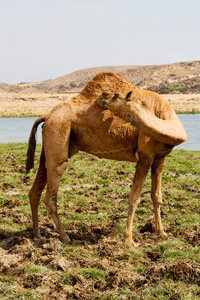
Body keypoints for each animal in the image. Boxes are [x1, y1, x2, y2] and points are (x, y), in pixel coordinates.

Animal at [25, 72, 187, 246]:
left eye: (115, 95)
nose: (102, 96)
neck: (165, 116)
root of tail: (47, 115)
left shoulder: (160, 157)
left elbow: (156, 195)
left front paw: (162, 232)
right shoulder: (145, 155)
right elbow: (134, 196)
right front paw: (129, 239)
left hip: (49, 145)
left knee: (35, 190)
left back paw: (37, 235)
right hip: (58, 132)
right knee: (51, 193)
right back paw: (65, 237)